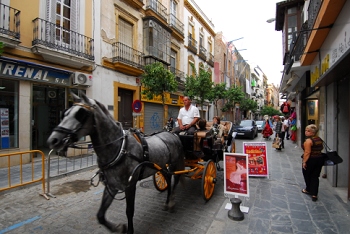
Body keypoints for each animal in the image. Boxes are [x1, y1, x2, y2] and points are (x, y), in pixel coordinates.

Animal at [47, 92, 186, 233]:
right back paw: (167, 201)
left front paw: (128, 229)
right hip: (162, 166)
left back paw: (171, 202)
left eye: (81, 114)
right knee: (167, 178)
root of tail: (172, 134)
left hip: (173, 164)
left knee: (175, 178)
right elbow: (100, 215)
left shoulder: (130, 186)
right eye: (64, 113)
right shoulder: (111, 186)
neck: (120, 149)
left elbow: (129, 211)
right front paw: (118, 227)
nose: (53, 140)